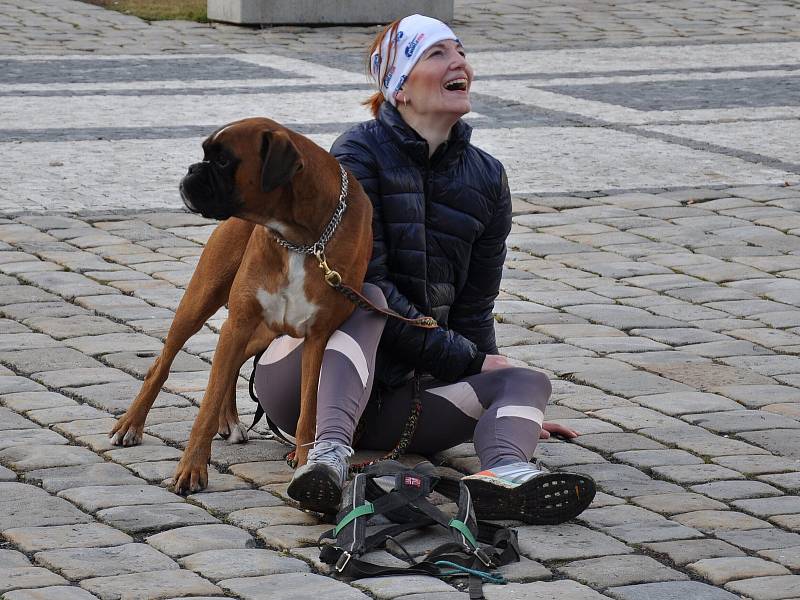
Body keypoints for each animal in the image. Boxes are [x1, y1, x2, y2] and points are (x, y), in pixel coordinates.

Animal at [108, 116, 372, 492]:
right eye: (207, 154)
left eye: (222, 160)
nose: (192, 169)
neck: (300, 239)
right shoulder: (241, 320)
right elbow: (205, 404)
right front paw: (192, 469)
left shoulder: (317, 337)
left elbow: (308, 408)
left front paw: (306, 463)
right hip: (202, 304)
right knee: (162, 363)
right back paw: (131, 425)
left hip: (264, 331)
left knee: (231, 365)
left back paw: (230, 421)